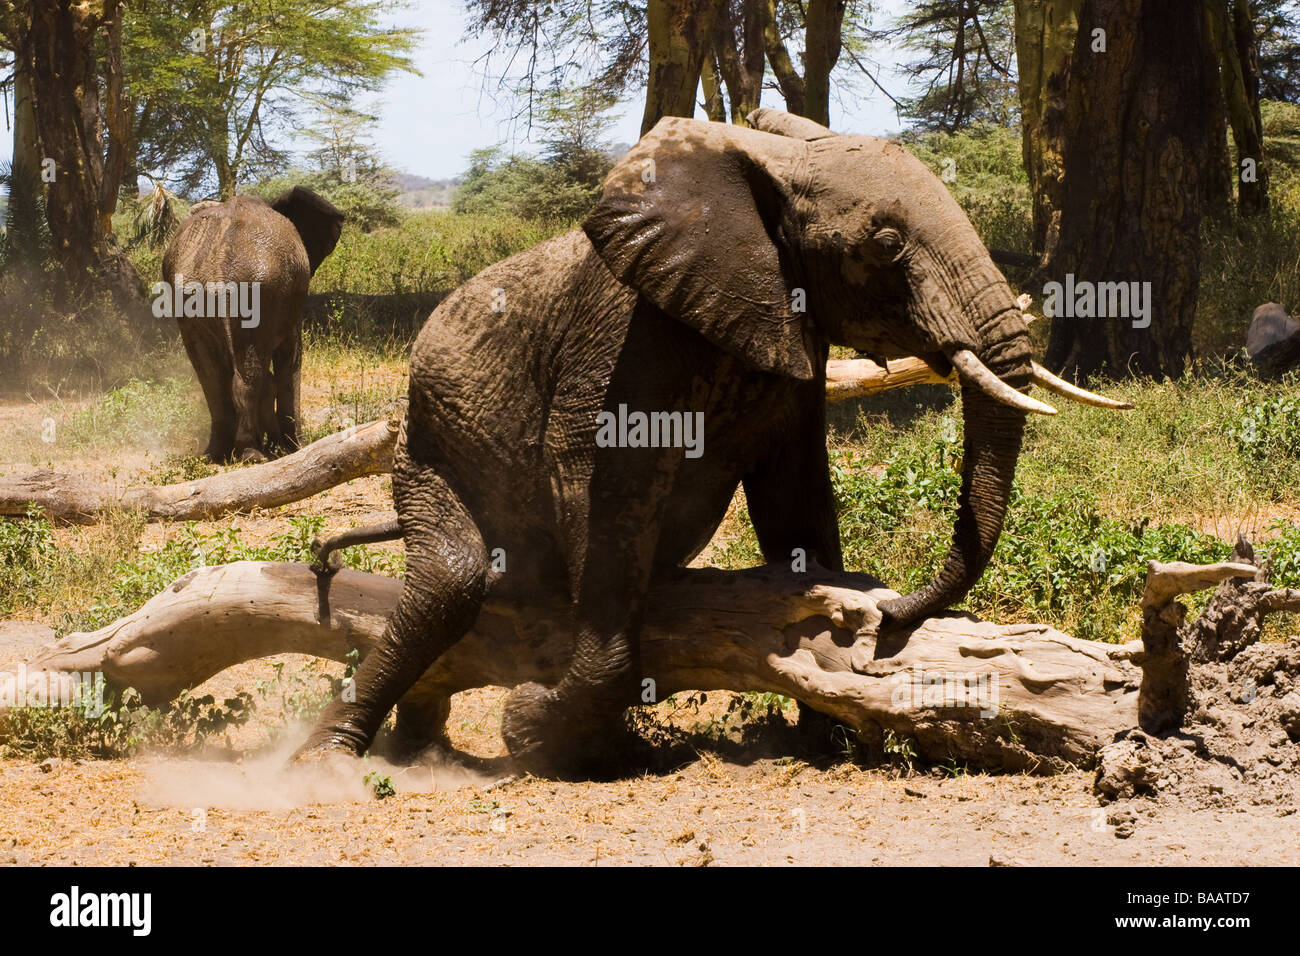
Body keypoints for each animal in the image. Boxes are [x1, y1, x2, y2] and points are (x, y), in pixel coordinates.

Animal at [163, 186, 344, 462]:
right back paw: (252, 454)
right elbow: (291, 359)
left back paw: (215, 455)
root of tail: (217, 263)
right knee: (248, 373)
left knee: (211, 376)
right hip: (254, 290)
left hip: (189, 297)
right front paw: (296, 448)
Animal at [297, 109, 1121, 778]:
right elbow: (601, 486)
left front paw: (825, 734)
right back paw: (333, 757)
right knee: (450, 583)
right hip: (426, 442)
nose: (889, 616)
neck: (767, 168)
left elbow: (797, 495)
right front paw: (536, 732)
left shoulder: (790, 330)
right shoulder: (625, 331)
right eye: (886, 245)